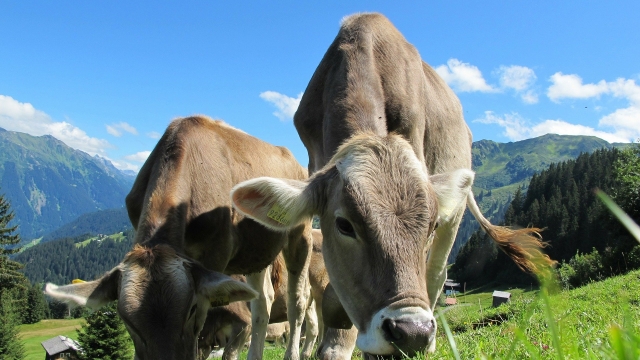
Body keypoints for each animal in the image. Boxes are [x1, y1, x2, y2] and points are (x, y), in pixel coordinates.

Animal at [44, 116, 312, 360]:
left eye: (191, 309)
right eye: (126, 320)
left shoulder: (215, 256)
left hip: (300, 234)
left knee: (297, 302)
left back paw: (293, 352)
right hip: (255, 252)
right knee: (262, 302)